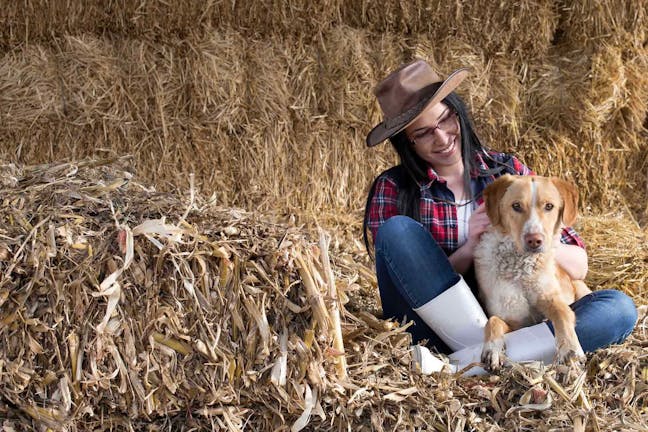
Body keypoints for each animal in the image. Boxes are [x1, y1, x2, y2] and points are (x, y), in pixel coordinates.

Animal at [470, 174, 592, 370]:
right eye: (516, 206)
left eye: (549, 206)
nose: (534, 240)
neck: (521, 270)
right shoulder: (516, 322)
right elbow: (493, 321)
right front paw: (492, 349)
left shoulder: (551, 298)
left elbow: (562, 314)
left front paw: (570, 349)